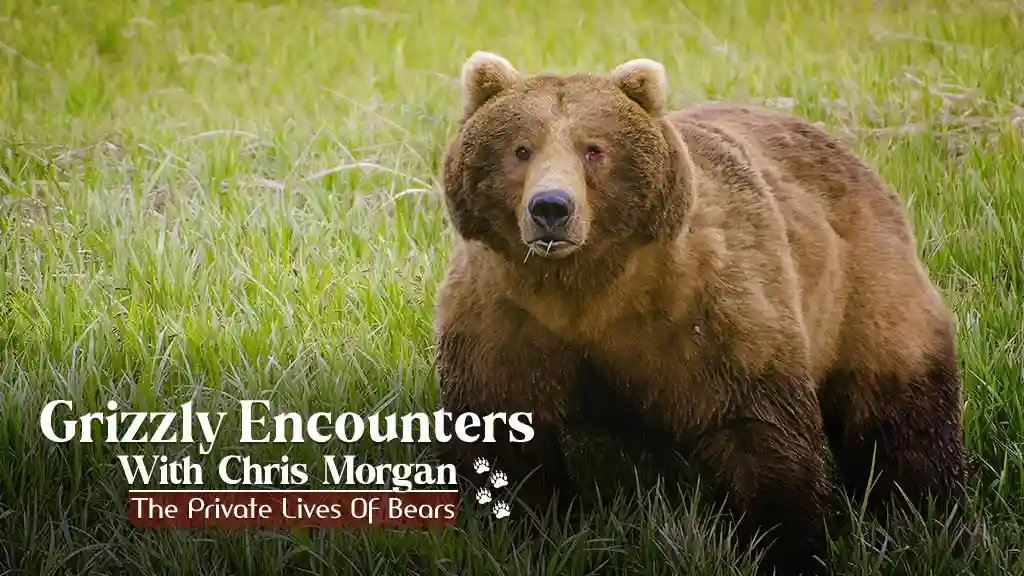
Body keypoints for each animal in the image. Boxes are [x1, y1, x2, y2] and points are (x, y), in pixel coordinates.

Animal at [433, 51, 966, 576]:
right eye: (521, 149)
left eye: (594, 149)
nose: (550, 208)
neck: (586, 288)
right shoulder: (505, 318)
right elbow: (504, 435)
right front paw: (528, 532)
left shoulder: (709, 308)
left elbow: (760, 429)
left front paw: (787, 548)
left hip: (865, 289)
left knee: (901, 413)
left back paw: (925, 513)